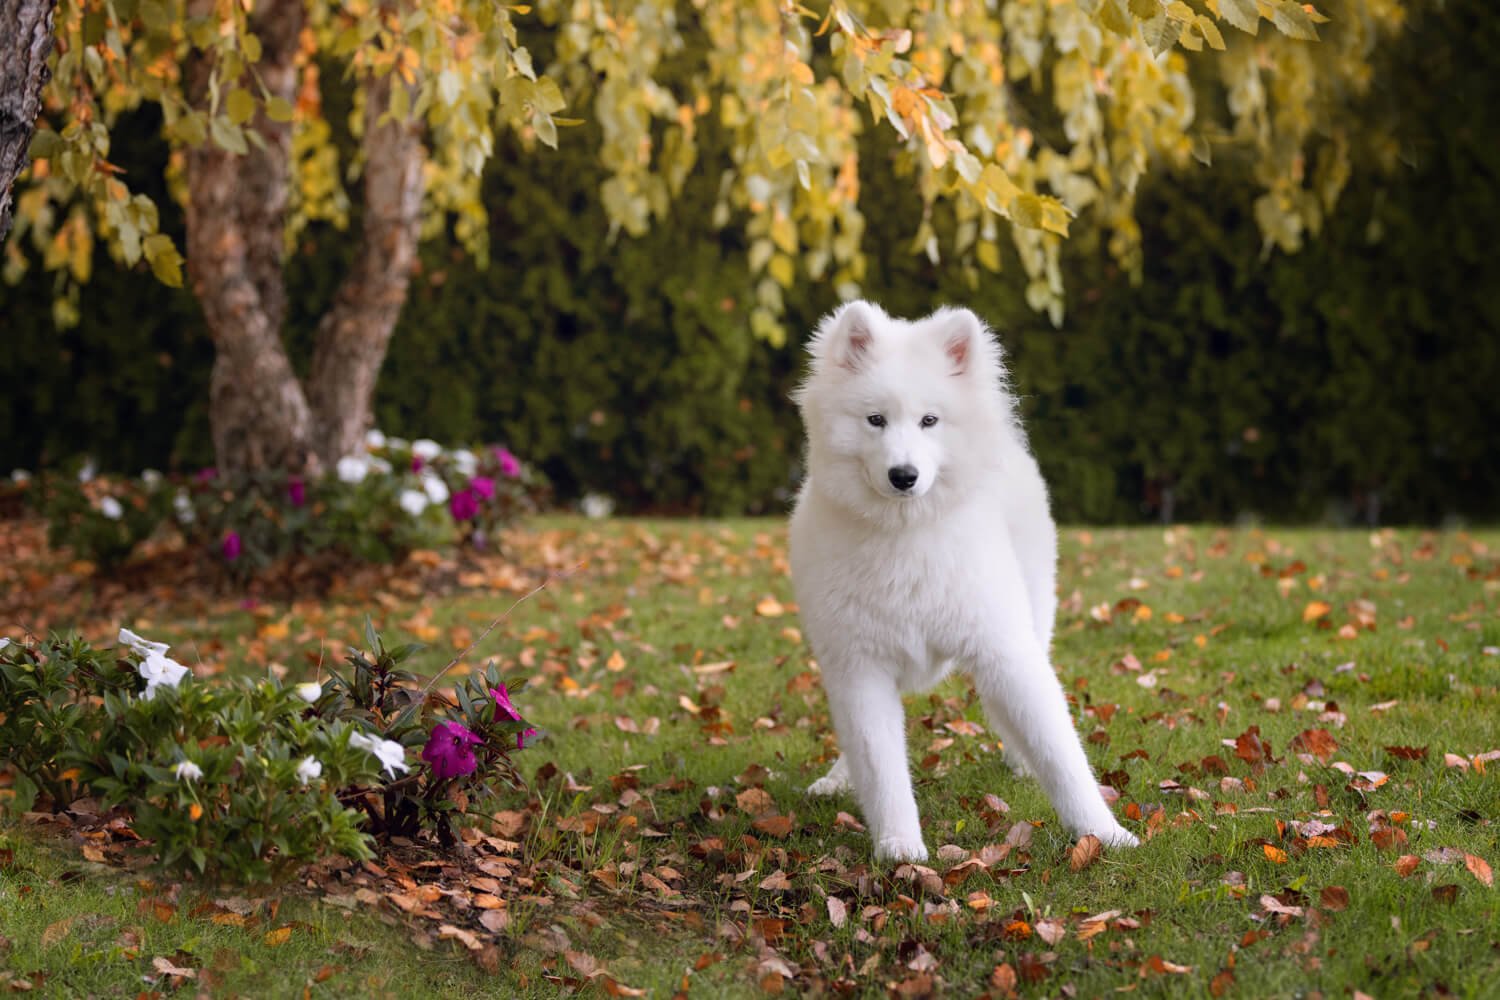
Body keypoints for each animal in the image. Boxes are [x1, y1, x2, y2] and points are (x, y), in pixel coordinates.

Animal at [786, 301, 1134, 863]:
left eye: (930, 421)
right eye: (875, 420)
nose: (903, 476)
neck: (905, 536)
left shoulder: (1005, 652)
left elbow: (1061, 754)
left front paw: (1105, 832)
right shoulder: (860, 669)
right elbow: (881, 768)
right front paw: (900, 849)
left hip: (1032, 619)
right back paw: (839, 779)